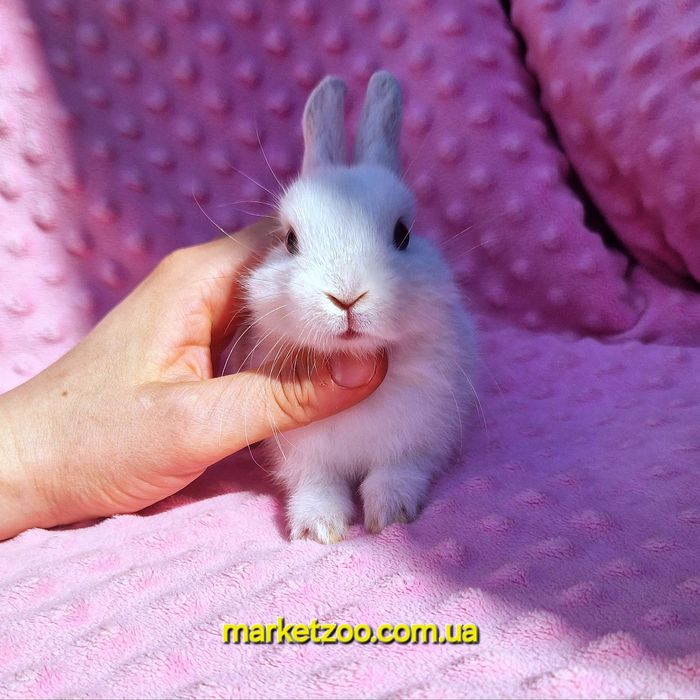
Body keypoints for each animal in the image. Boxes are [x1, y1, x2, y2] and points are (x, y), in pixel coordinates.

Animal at [243, 71, 477, 544]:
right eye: (289, 240)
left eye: (403, 234)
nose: (346, 297)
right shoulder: (304, 456)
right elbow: (318, 485)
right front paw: (319, 528)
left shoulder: (417, 441)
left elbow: (394, 474)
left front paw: (389, 515)